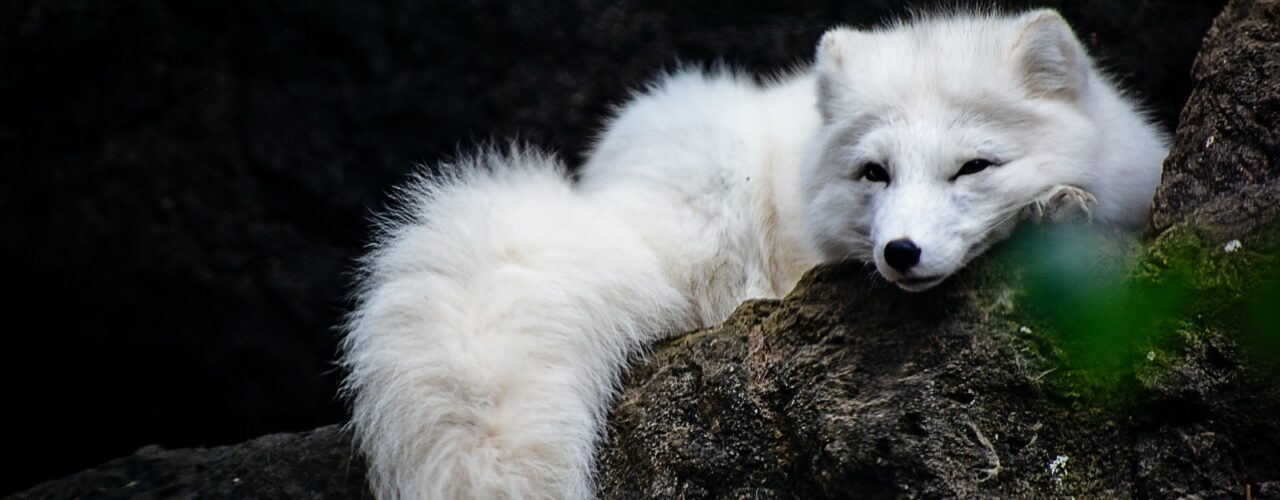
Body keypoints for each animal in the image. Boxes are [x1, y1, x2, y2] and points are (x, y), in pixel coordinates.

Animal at [343, 8, 1172, 500]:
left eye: (974, 167)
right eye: (875, 172)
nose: (900, 252)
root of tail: (608, 197)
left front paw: (1058, 204)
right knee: (726, 298)